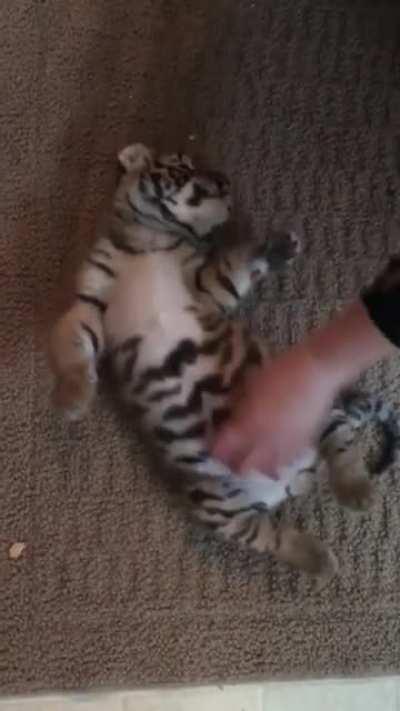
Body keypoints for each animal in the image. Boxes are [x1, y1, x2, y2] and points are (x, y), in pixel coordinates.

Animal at [48, 142, 399, 580]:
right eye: (184, 166)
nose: (225, 180)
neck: (150, 239)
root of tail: (293, 478)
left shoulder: (203, 287)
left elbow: (236, 263)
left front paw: (277, 246)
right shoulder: (89, 303)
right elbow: (72, 347)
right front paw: (73, 399)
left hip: (314, 412)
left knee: (344, 450)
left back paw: (358, 493)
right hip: (216, 506)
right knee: (271, 535)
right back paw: (321, 559)